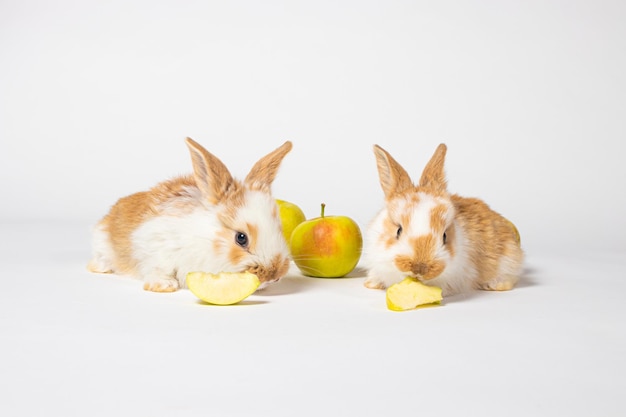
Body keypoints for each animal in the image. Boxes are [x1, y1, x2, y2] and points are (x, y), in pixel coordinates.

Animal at [88, 138, 292, 290]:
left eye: (279, 229)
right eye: (241, 238)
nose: (274, 276)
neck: (203, 239)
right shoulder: (154, 246)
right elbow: (157, 268)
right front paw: (164, 285)